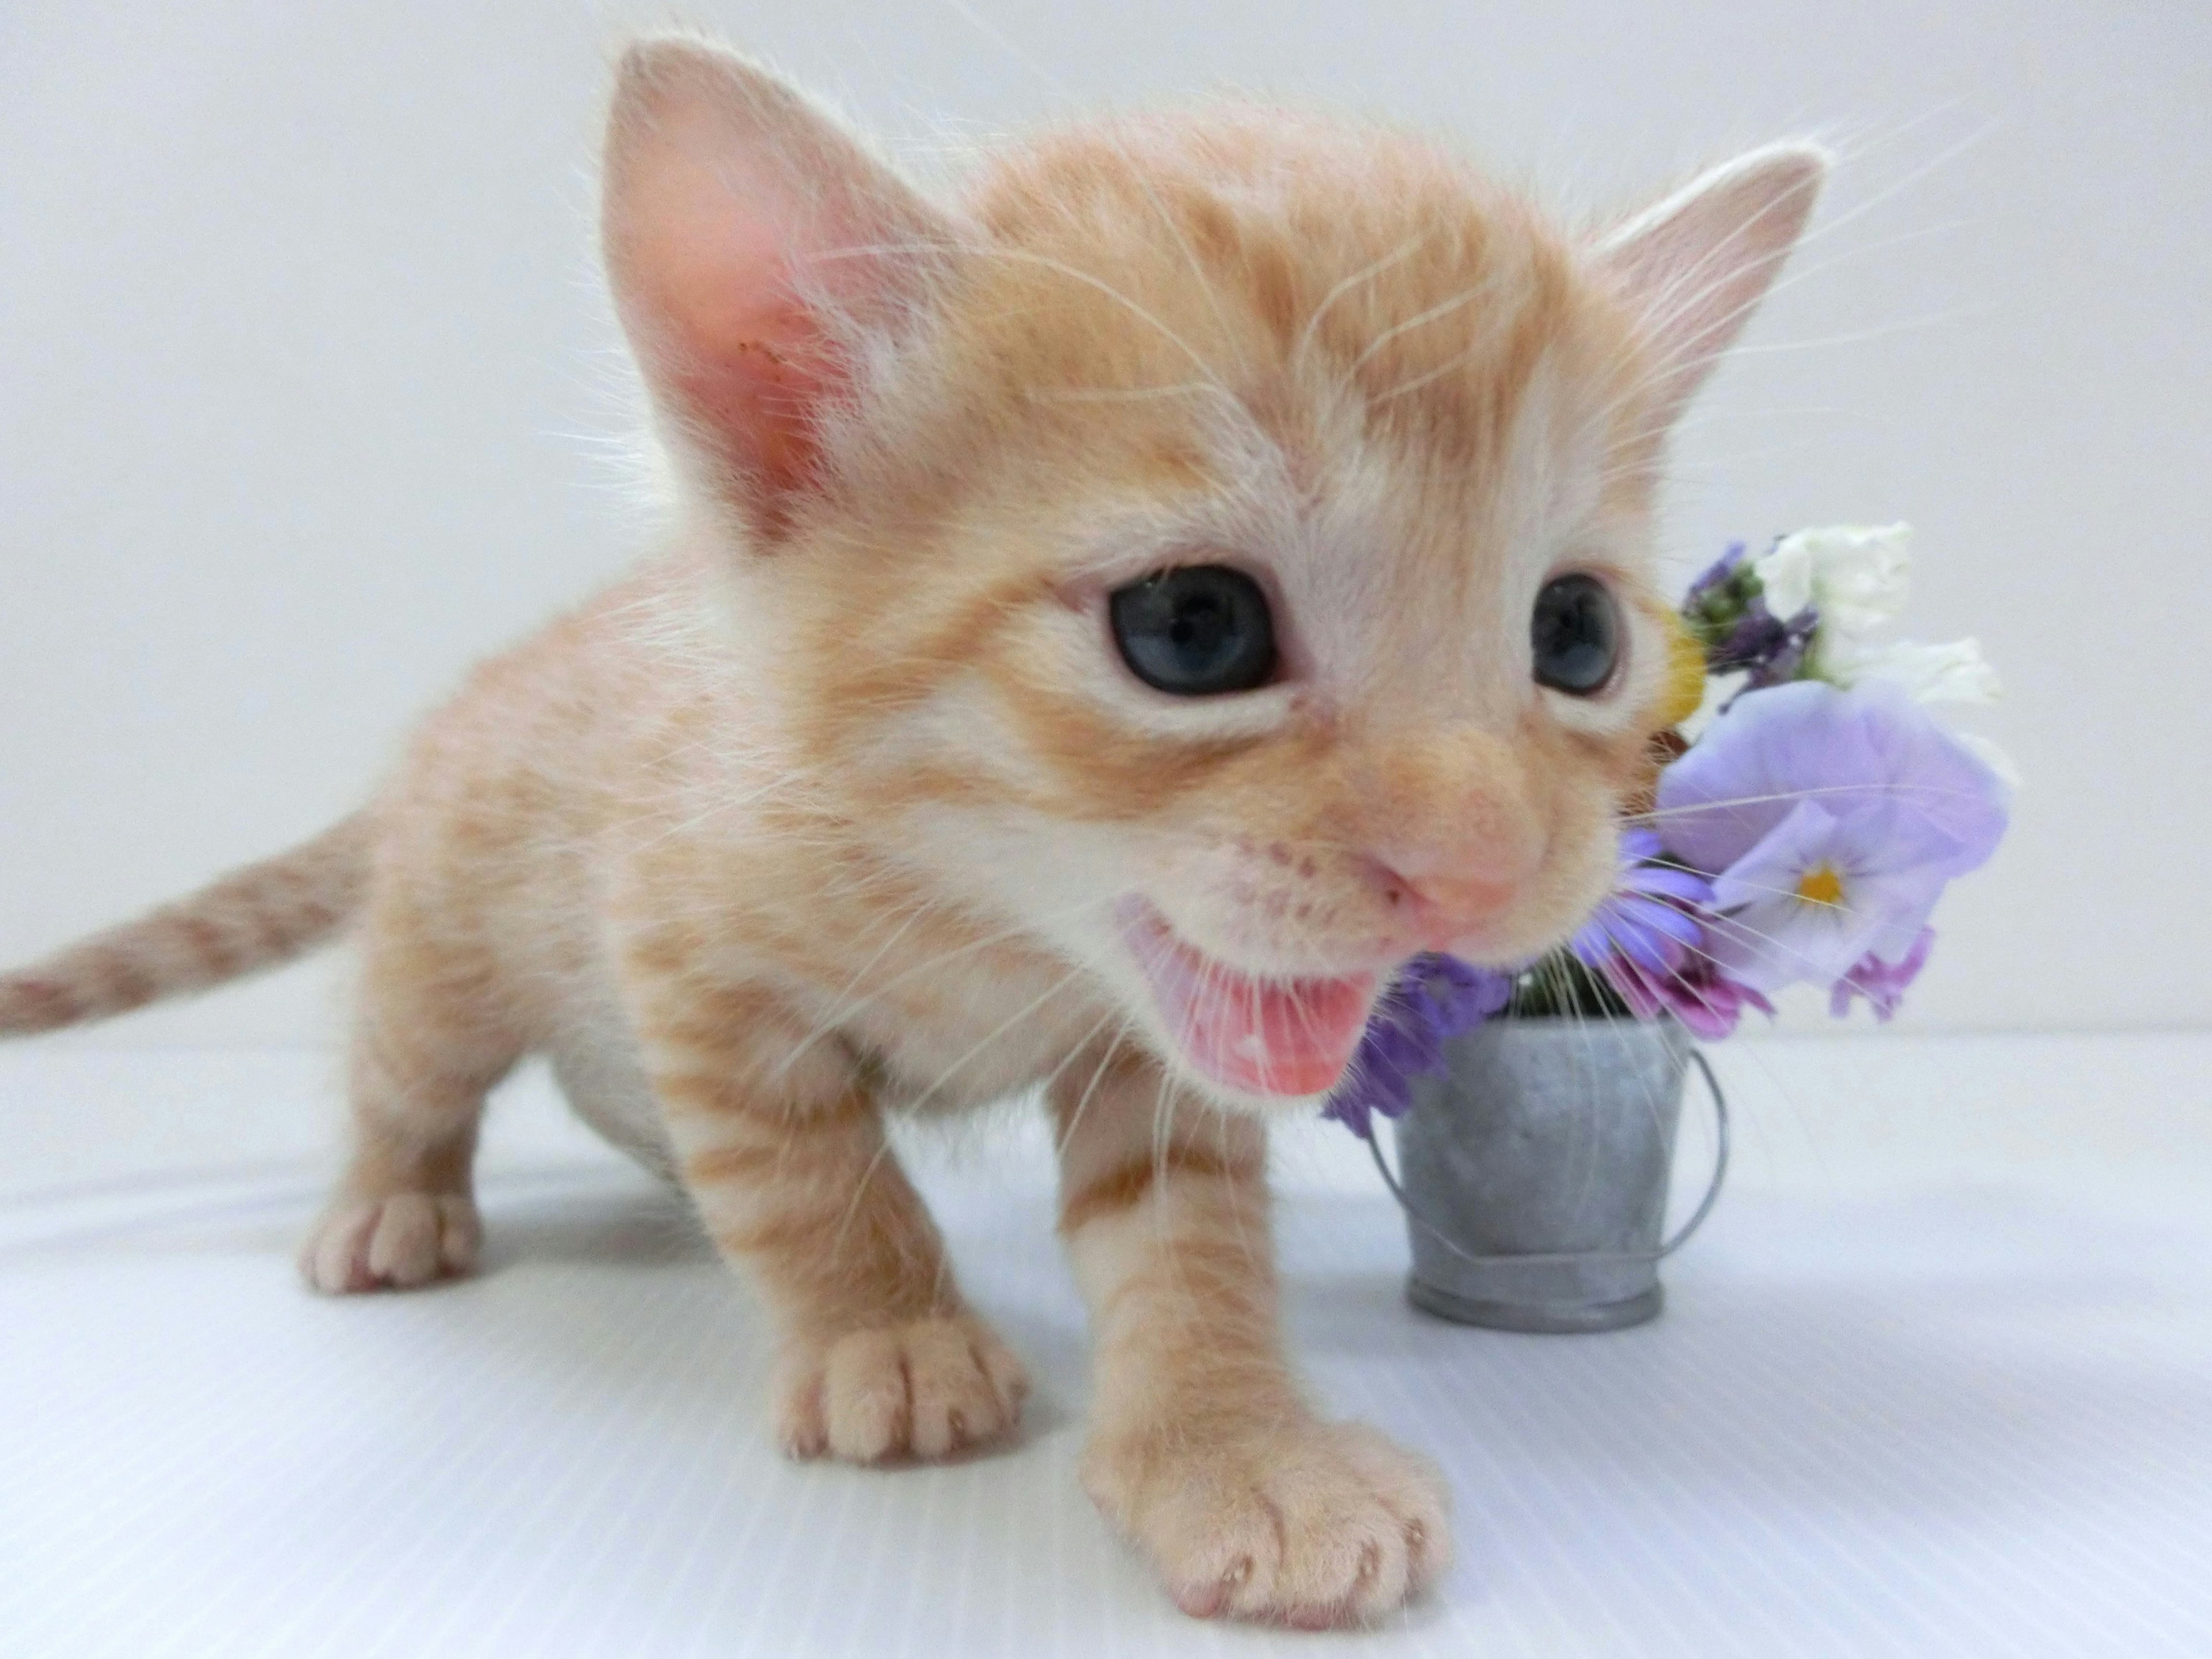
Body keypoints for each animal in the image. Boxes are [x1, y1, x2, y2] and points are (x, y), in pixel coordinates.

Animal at [0, 42, 1823, 1637]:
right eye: (1194, 628)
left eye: (1575, 634)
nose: (1480, 869)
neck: (985, 915)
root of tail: (493, 685)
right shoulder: (684, 942)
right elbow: (807, 1172)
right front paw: (889, 1334)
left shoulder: (1156, 1057)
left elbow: (1186, 1244)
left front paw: (1236, 1448)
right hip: (456, 932)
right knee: (406, 1061)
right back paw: (391, 1202)